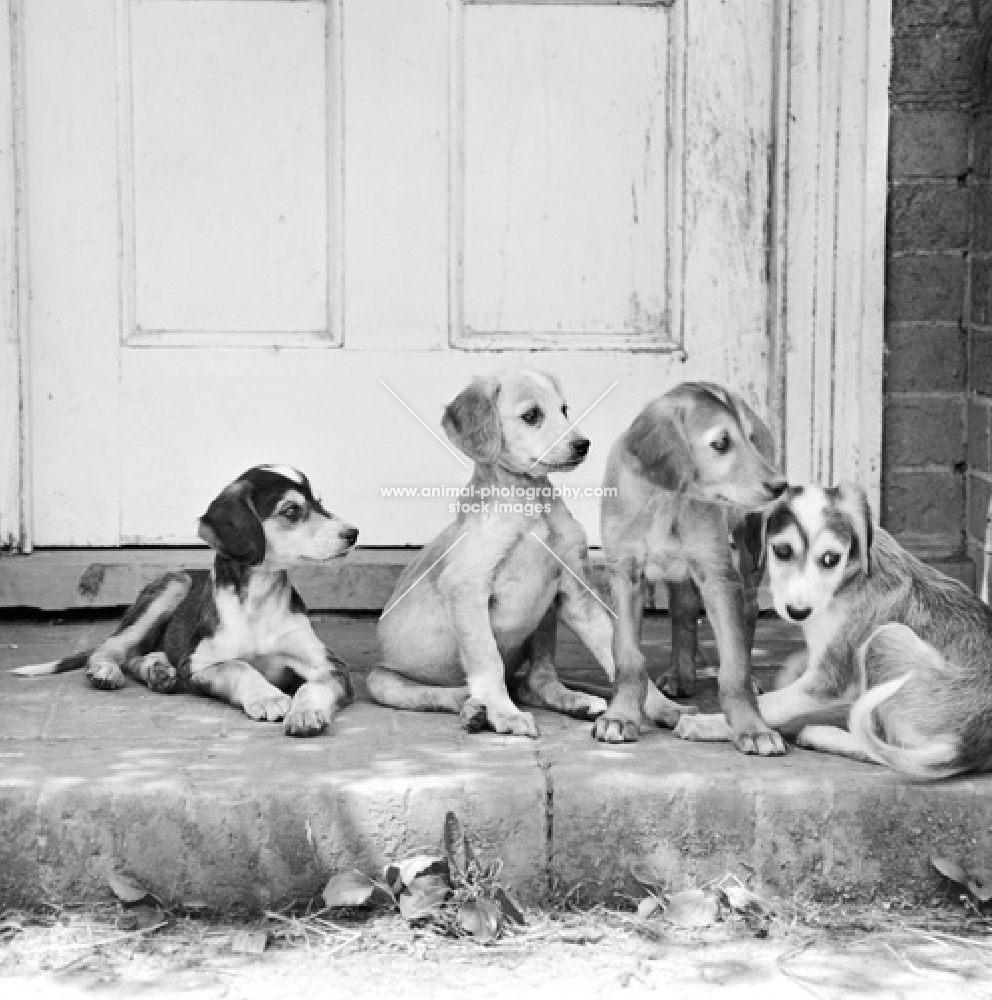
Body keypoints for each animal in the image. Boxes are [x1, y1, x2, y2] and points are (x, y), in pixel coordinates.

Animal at [13, 464, 358, 740]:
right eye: (291, 511)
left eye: (319, 503)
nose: (353, 533)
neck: (257, 600)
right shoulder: (198, 664)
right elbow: (239, 666)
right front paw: (268, 698)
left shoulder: (329, 665)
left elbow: (310, 686)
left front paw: (305, 714)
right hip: (171, 588)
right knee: (113, 648)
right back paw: (107, 672)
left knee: (140, 655)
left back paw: (158, 671)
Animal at [368, 372, 692, 740]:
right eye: (532, 415)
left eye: (564, 409)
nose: (583, 444)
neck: (529, 501)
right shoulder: (467, 587)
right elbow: (486, 659)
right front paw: (504, 713)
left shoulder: (576, 592)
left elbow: (620, 654)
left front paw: (664, 708)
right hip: (383, 680)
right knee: (450, 692)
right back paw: (475, 709)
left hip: (545, 615)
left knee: (536, 681)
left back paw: (575, 701)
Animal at [596, 380, 792, 752]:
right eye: (721, 443)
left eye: (749, 439)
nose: (780, 486)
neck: (666, 501)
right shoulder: (624, 573)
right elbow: (627, 655)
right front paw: (621, 716)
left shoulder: (717, 574)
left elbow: (733, 665)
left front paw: (752, 727)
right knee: (683, 611)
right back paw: (681, 674)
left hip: (750, 547)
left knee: (748, 610)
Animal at [680, 484, 992, 780]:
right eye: (782, 551)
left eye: (831, 558)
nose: (798, 611)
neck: (847, 578)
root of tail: (966, 747)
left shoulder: (828, 679)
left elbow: (770, 703)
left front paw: (710, 723)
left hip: (885, 639)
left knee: (887, 749)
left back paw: (818, 733)